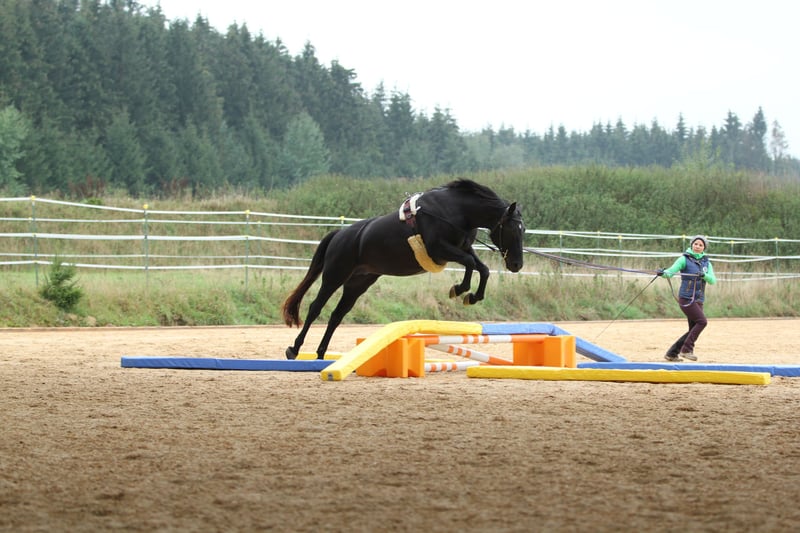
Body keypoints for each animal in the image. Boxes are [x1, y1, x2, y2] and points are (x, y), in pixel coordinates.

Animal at [282, 179, 525, 360]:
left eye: (523, 229)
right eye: (513, 229)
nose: (516, 265)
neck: (456, 211)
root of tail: (339, 234)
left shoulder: (462, 247)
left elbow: (482, 269)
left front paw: (470, 296)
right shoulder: (440, 249)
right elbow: (471, 264)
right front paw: (460, 289)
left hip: (358, 283)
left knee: (336, 315)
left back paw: (321, 355)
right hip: (335, 275)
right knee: (315, 308)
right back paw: (294, 349)